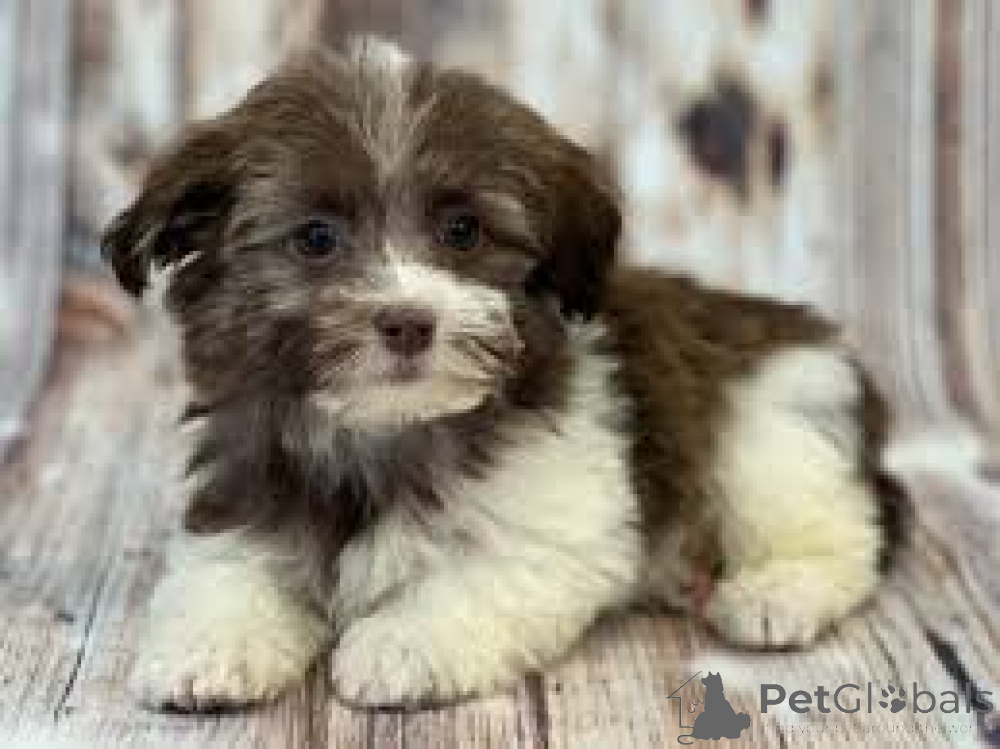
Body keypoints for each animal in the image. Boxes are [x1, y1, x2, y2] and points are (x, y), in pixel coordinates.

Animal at [102, 37, 907, 711]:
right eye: (316, 238)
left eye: (463, 230)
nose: (408, 321)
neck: (385, 434)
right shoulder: (243, 486)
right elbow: (224, 569)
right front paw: (210, 646)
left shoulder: (555, 529)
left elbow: (476, 580)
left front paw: (401, 643)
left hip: (779, 421)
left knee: (838, 532)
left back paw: (780, 591)